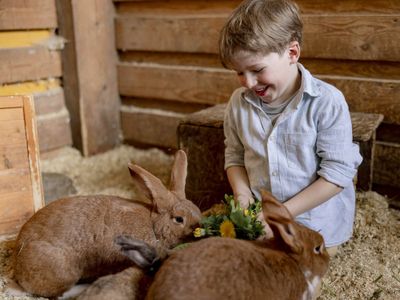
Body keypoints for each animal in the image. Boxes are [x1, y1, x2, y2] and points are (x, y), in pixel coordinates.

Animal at [11, 150, 202, 298]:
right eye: (179, 219)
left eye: (196, 208)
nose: (199, 227)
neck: (154, 225)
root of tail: (18, 263)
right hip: (64, 271)